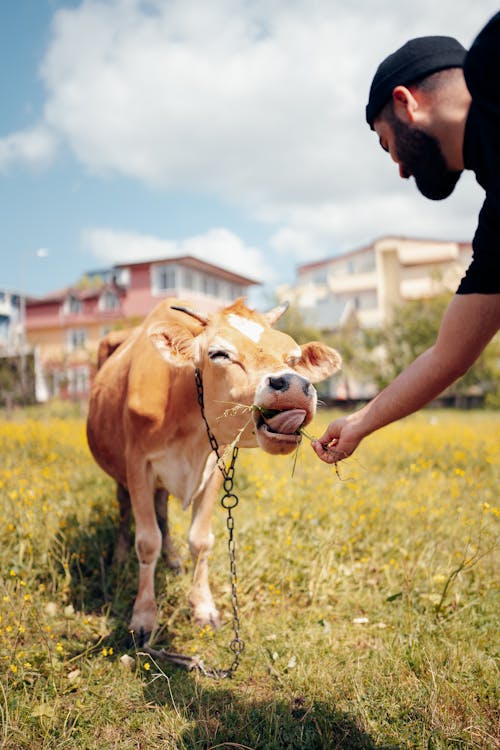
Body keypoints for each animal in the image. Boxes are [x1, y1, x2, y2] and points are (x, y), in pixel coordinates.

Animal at [88, 296, 342, 644]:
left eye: (292, 357)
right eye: (219, 353)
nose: (292, 384)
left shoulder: (214, 465)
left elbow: (200, 540)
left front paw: (203, 607)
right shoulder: (137, 464)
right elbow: (148, 541)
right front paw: (143, 616)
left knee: (162, 511)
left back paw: (173, 560)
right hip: (120, 473)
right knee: (125, 508)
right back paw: (120, 556)